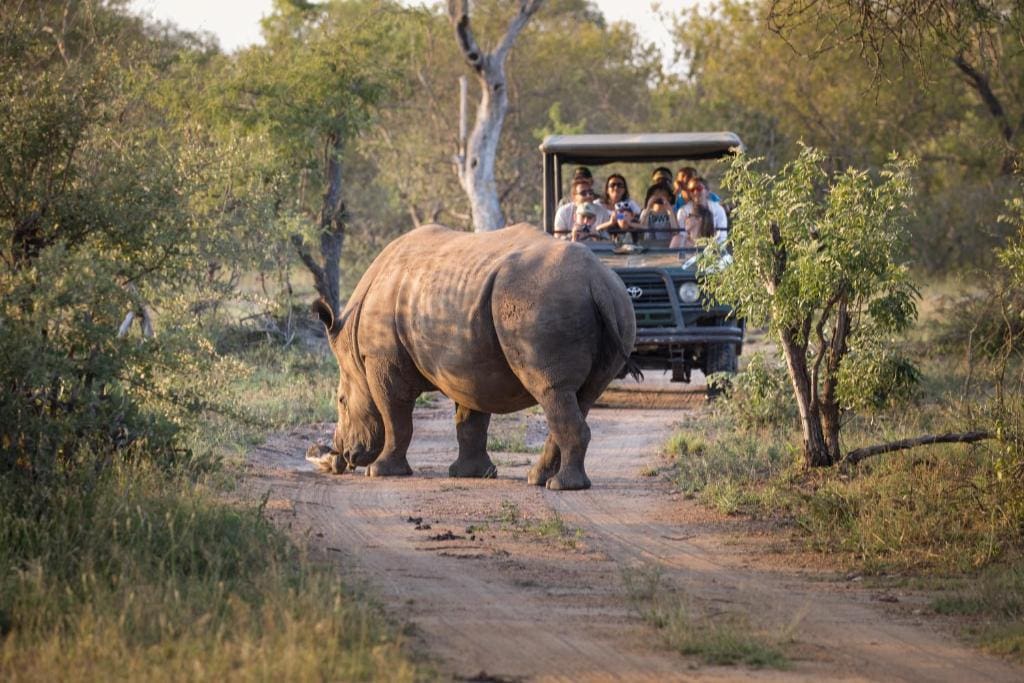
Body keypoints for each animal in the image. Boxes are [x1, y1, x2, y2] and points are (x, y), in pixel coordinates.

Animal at [311, 223, 638, 490]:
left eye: (341, 401)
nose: (339, 458)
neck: (351, 342)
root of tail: (597, 282)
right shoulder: (469, 364)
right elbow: (470, 420)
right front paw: (471, 474)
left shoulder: (382, 359)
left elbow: (395, 416)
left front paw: (380, 472)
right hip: (618, 305)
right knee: (581, 395)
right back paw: (538, 479)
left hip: (543, 301)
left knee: (552, 390)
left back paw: (561, 486)